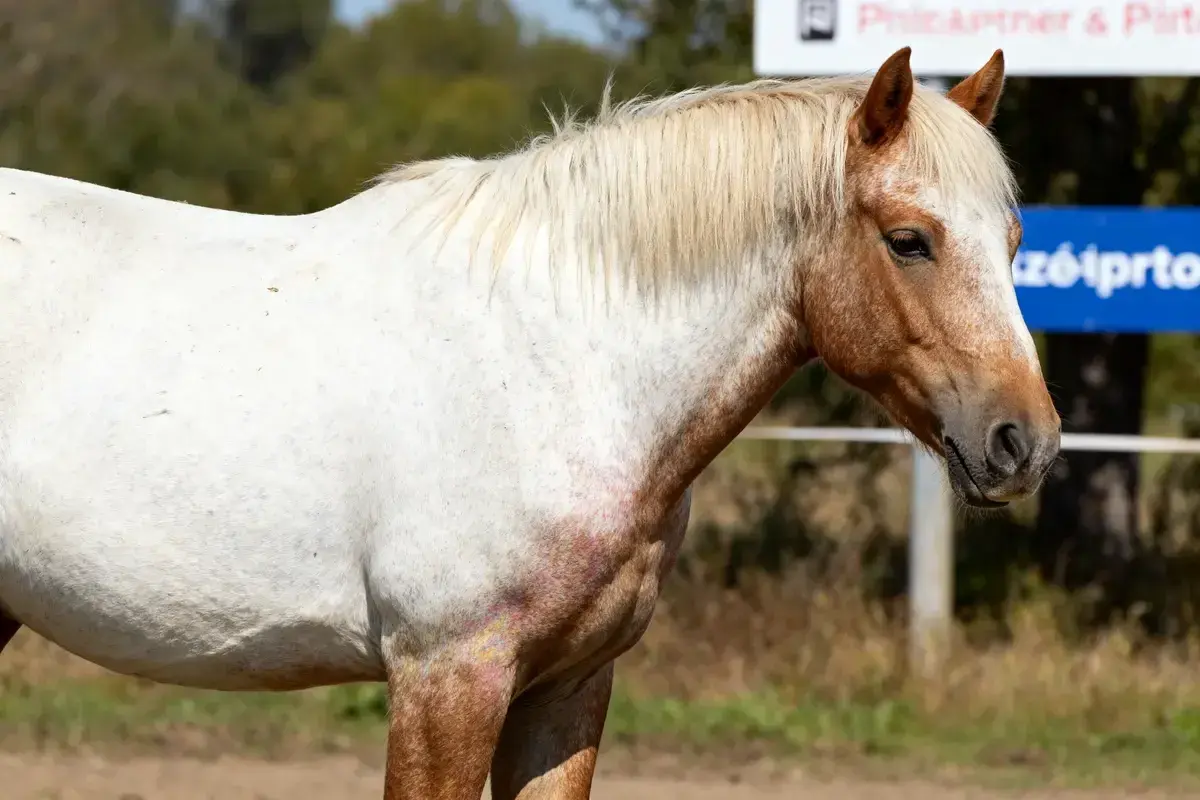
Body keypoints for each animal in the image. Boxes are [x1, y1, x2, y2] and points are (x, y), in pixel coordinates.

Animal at [0, 46, 1058, 798]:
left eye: (1013, 241)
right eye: (909, 240)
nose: (1026, 443)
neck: (558, 361)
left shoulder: (569, 688)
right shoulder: (447, 682)